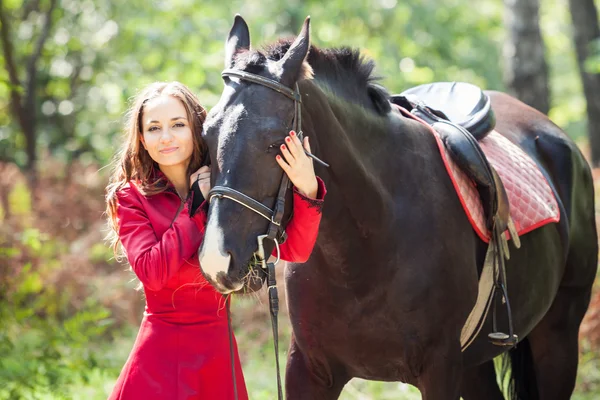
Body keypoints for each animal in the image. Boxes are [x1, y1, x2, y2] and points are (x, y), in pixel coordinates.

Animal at [197, 15, 596, 400]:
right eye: (206, 135)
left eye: (274, 142)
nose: (217, 259)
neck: (365, 244)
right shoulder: (309, 372)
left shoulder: (440, 369)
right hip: (476, 365)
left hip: (557, 336)